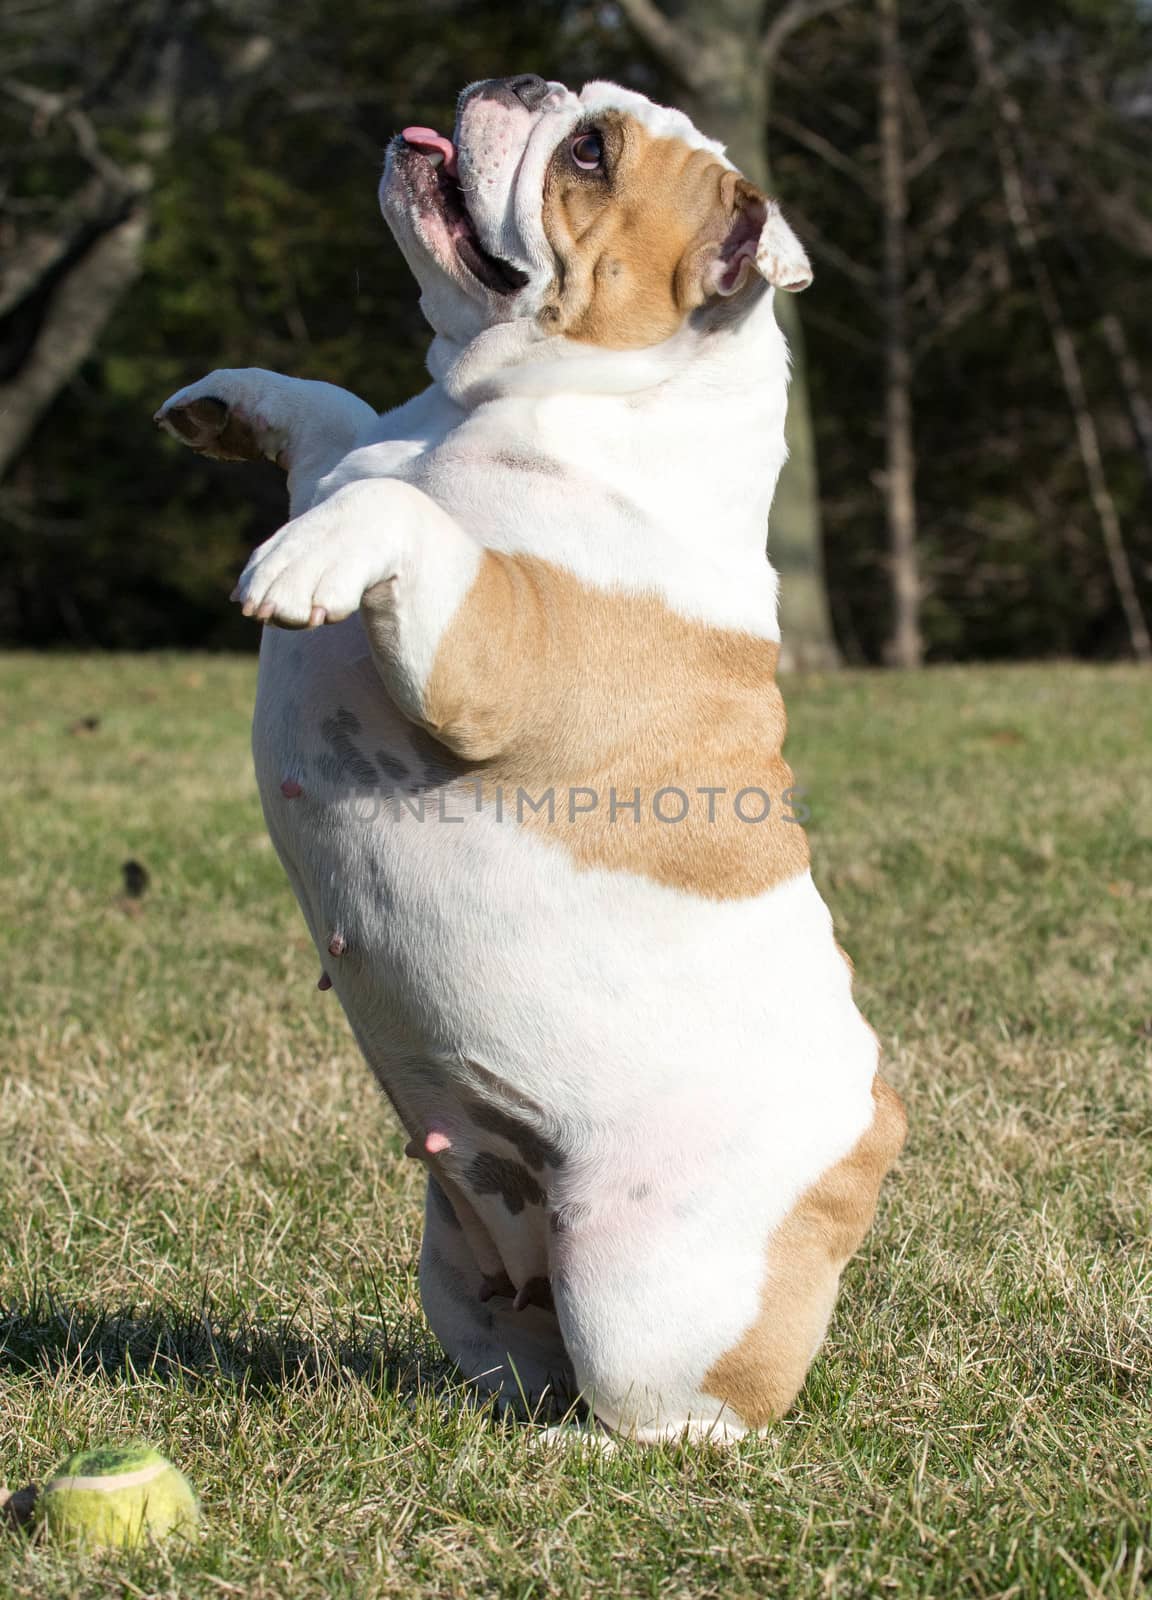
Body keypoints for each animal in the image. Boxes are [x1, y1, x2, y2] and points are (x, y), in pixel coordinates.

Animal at [157, 72, 902, 1452]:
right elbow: (336, 423)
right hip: (458, 1264)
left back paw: (582, 1451)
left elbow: (404, 517)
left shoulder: (498, 648)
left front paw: (306, 558)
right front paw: (229, 396)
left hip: (639, 1279)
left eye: (590, 155)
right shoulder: (362, 443)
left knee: (671, 1413)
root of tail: (866, 1140)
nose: (510, 83)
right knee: (517, 1347)